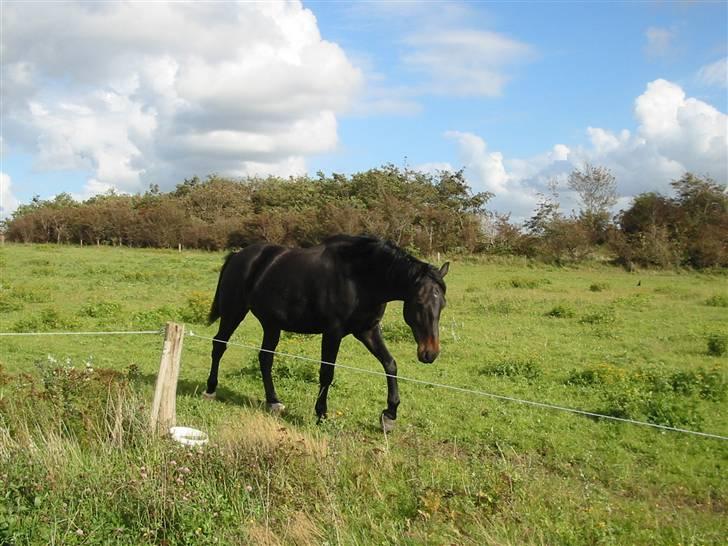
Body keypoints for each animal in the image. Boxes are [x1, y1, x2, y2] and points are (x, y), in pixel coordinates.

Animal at [202, 234, 446, 430]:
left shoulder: (367, 330)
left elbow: (390, 364)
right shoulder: (333, 332)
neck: (359, 279)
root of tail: (238, 256)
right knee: (219, 345)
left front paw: (389, 415)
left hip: (271, 324)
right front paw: (321, 414)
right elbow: (327, 373)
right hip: (234, 313)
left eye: (442, 304)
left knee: (265, 358)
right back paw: (210, 390)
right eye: (419, 302)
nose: (430, 353)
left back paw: (273, 401)